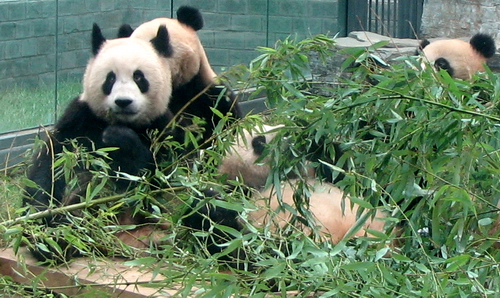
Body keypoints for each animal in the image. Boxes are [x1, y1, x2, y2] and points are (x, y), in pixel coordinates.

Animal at [23, 23, 184, 264]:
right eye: (110, 79)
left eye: (139, 78)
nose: (123, 102)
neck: (121, 121)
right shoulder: (80, 118)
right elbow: (52, 164)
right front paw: (40, 215)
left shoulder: (162, 128)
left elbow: (154, 181)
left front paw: (119, 138)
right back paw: (55, 240)